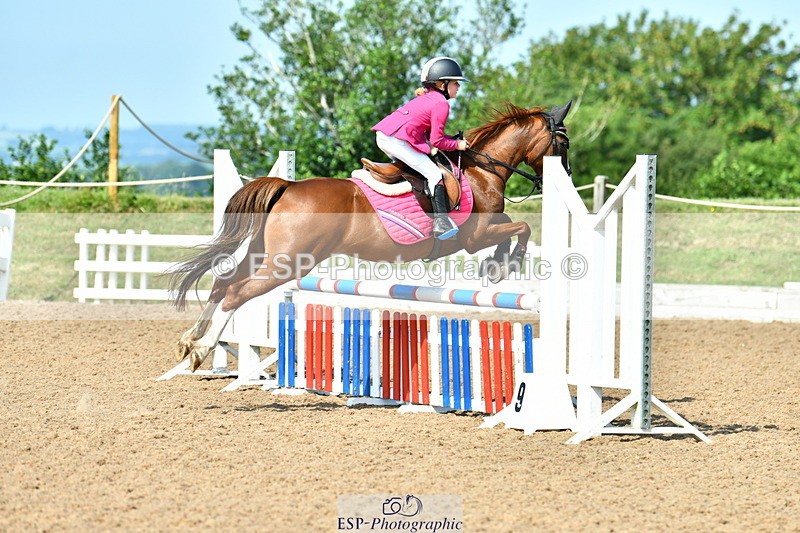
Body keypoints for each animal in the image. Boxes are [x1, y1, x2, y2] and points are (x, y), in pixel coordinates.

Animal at [170, 101, 571, 371]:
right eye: (563, 144)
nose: (565, 177)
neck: (481, 170)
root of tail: (288, 186)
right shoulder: (475, 236)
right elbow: (521, 227)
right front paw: (505, 265)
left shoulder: (485, 230)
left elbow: (512, 227)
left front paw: (496, 266)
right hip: (288, 263)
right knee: (236, 292)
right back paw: (202, 349)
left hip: (267, 254)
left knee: (223, 282)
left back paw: (190, 340)